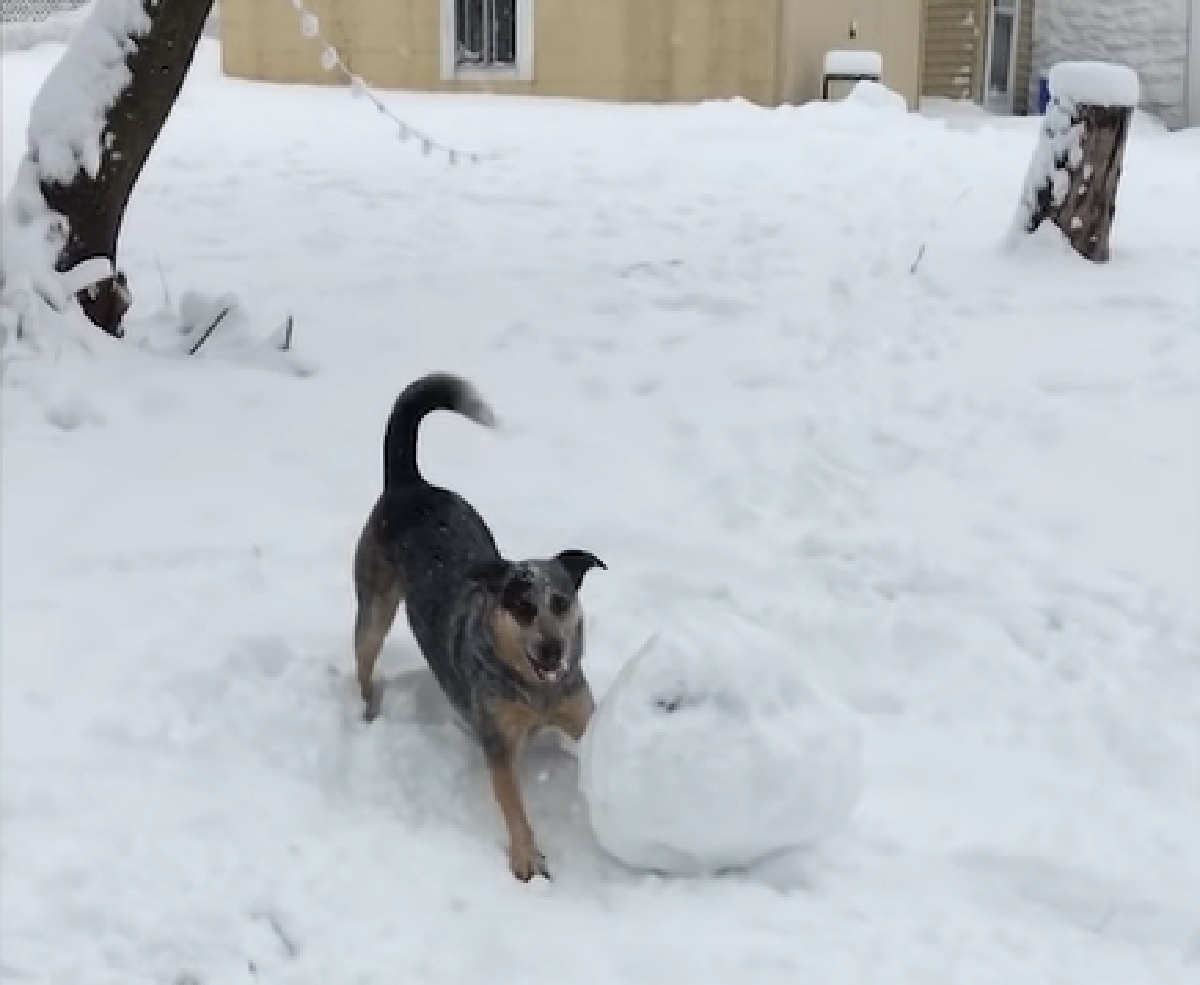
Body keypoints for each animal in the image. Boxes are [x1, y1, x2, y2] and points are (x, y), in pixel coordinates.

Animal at [350, 371, 604, 878]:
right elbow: (513, 805)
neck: (536, 692)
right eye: (522, 607)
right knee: (364, 662)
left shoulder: (576, 710)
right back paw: (369, 708)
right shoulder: (500, 740)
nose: (552, 649)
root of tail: (409, 482)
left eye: (561, 601)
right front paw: (527, 860)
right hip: (373, 603)